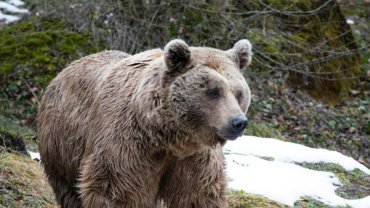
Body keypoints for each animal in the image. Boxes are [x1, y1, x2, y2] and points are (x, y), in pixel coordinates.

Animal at [36, 39, 251, 208]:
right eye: (214, 91)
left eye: (239, 92)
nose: (238, 122)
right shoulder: (128, 147)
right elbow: (117, 192)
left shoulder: (196, 159)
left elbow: (198, 196)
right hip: (63, 145)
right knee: (69, 190)